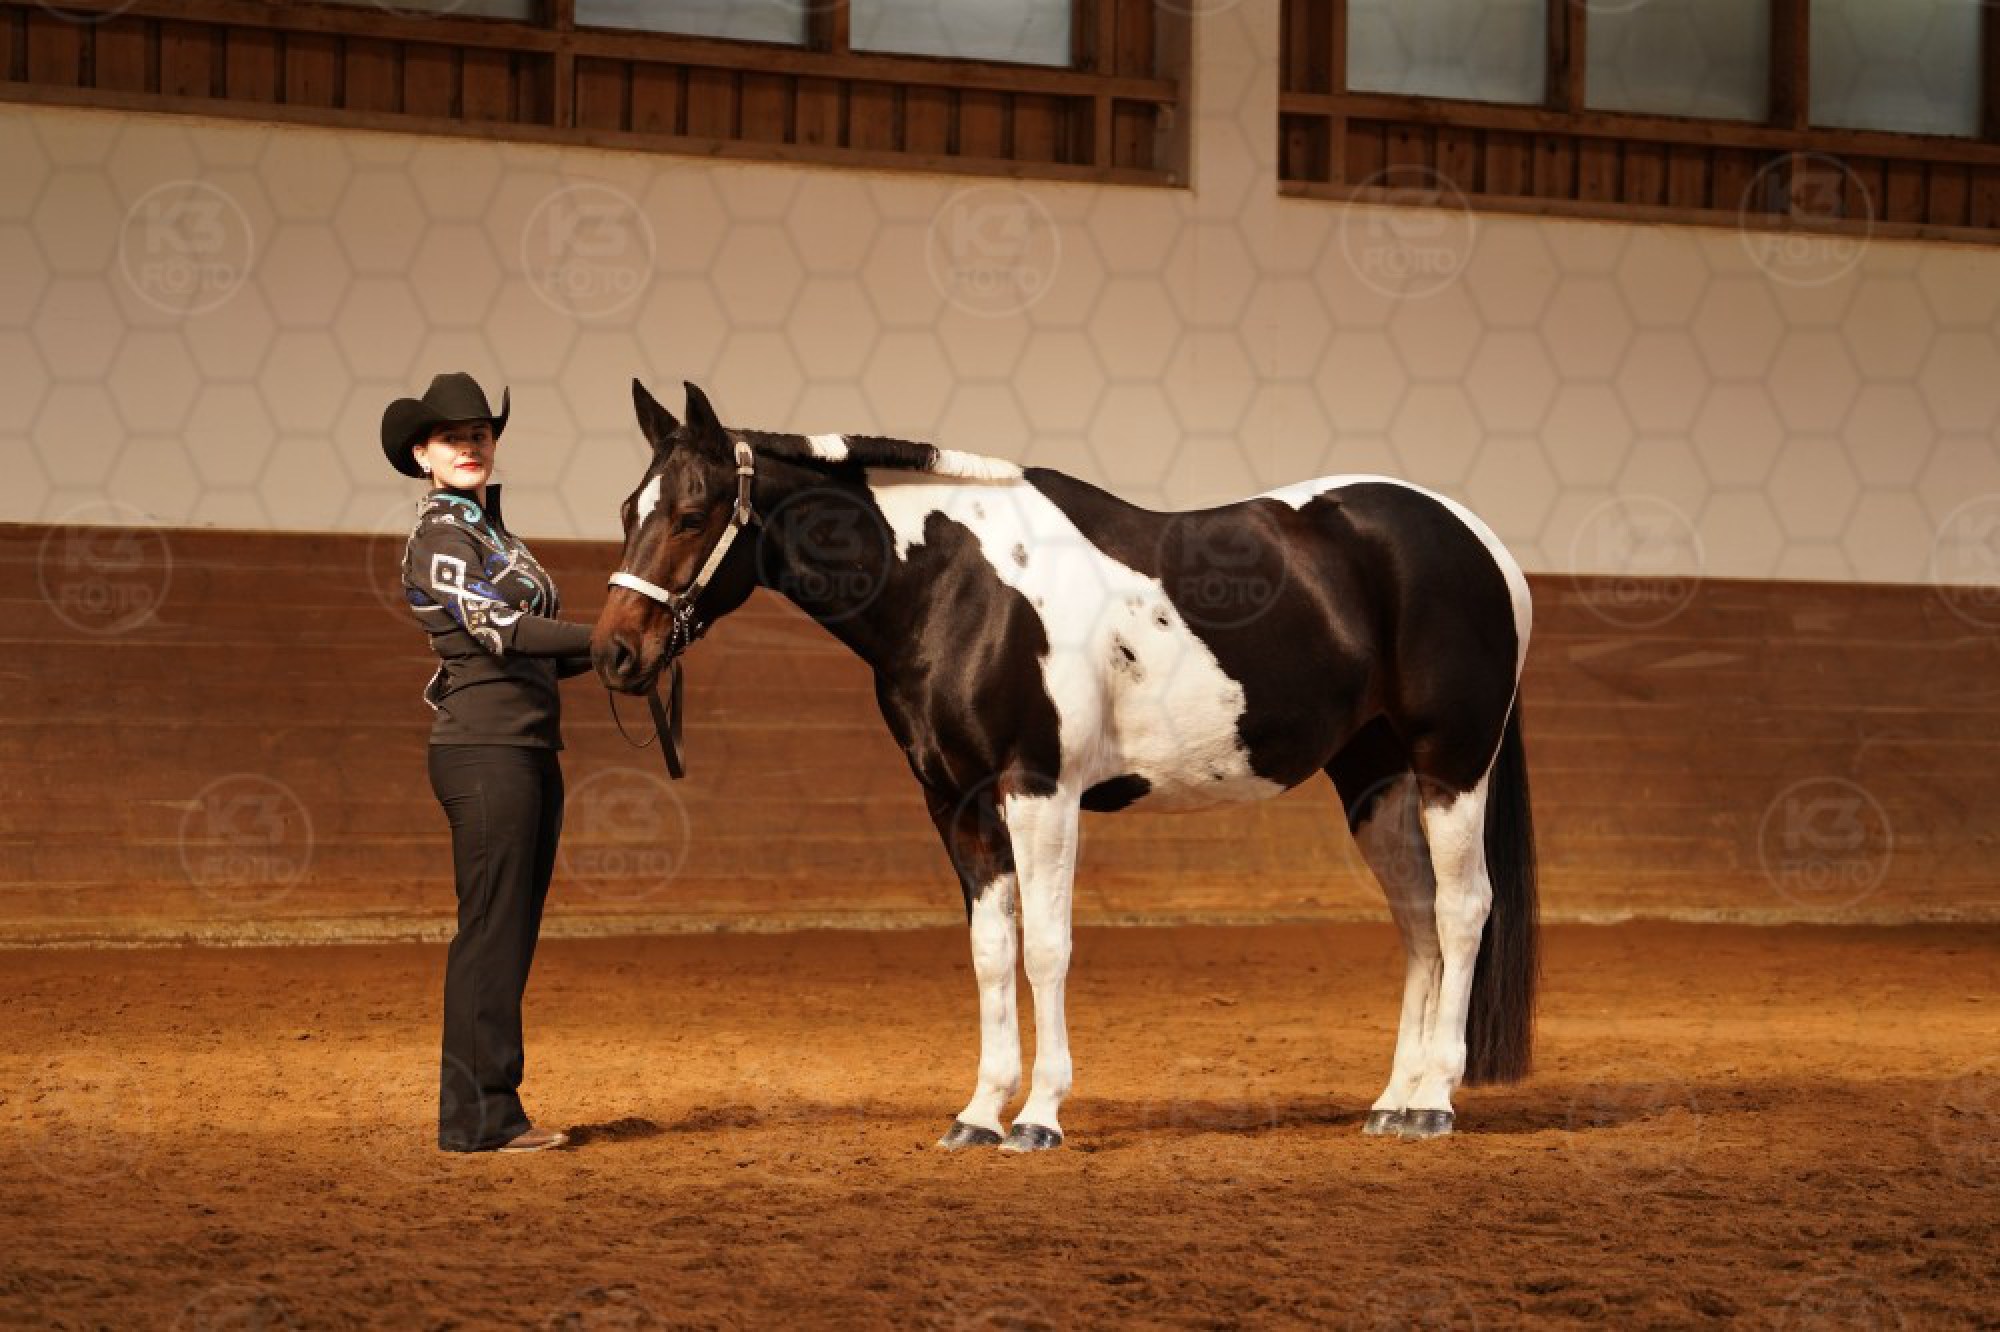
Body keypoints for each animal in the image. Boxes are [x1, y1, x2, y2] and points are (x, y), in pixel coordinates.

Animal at [592, 380, 1538, 1151]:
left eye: (692, 516)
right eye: (629, 511)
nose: (613, 655)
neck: (958, 589)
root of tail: (1476, 537)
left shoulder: (1038, 791)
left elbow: (1045, 947)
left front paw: (1040, 1117)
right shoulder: (956, 803)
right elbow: (989, 952)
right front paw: (979, 1114)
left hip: (1453, 764)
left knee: (1462, 911)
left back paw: (1434, 1103)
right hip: (1374, 780)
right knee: (1418, 922)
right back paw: (1393, 1101)